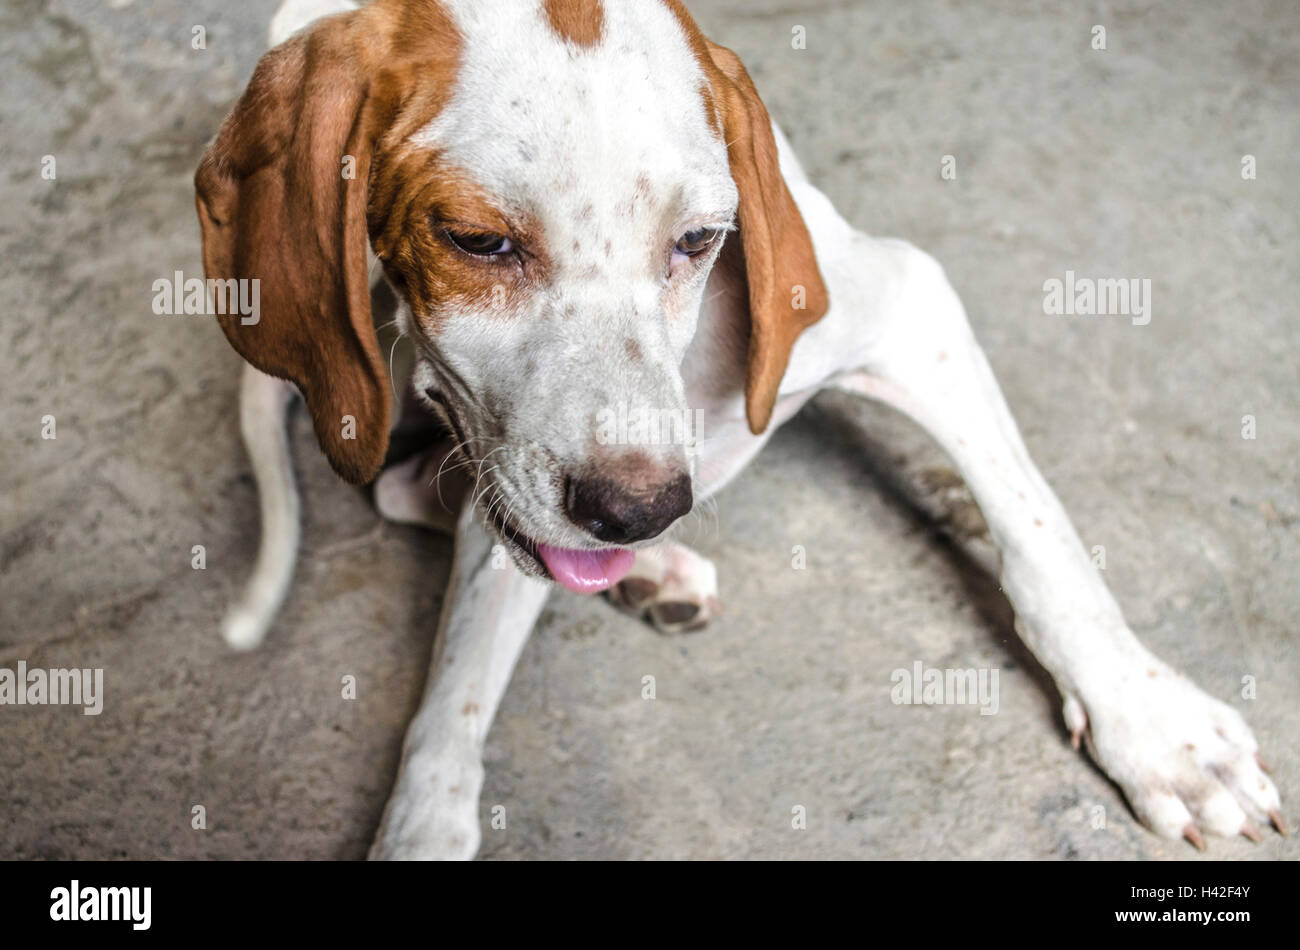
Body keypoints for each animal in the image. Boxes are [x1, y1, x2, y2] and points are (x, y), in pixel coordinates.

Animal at [192, 0, 1279, 862]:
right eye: (475, 241)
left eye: (701, 240)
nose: (637, 511)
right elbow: (454, 691)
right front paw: (423, 821)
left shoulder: (904, 304)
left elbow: (1041, 540)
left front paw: (1158, 731)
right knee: (409, 488)